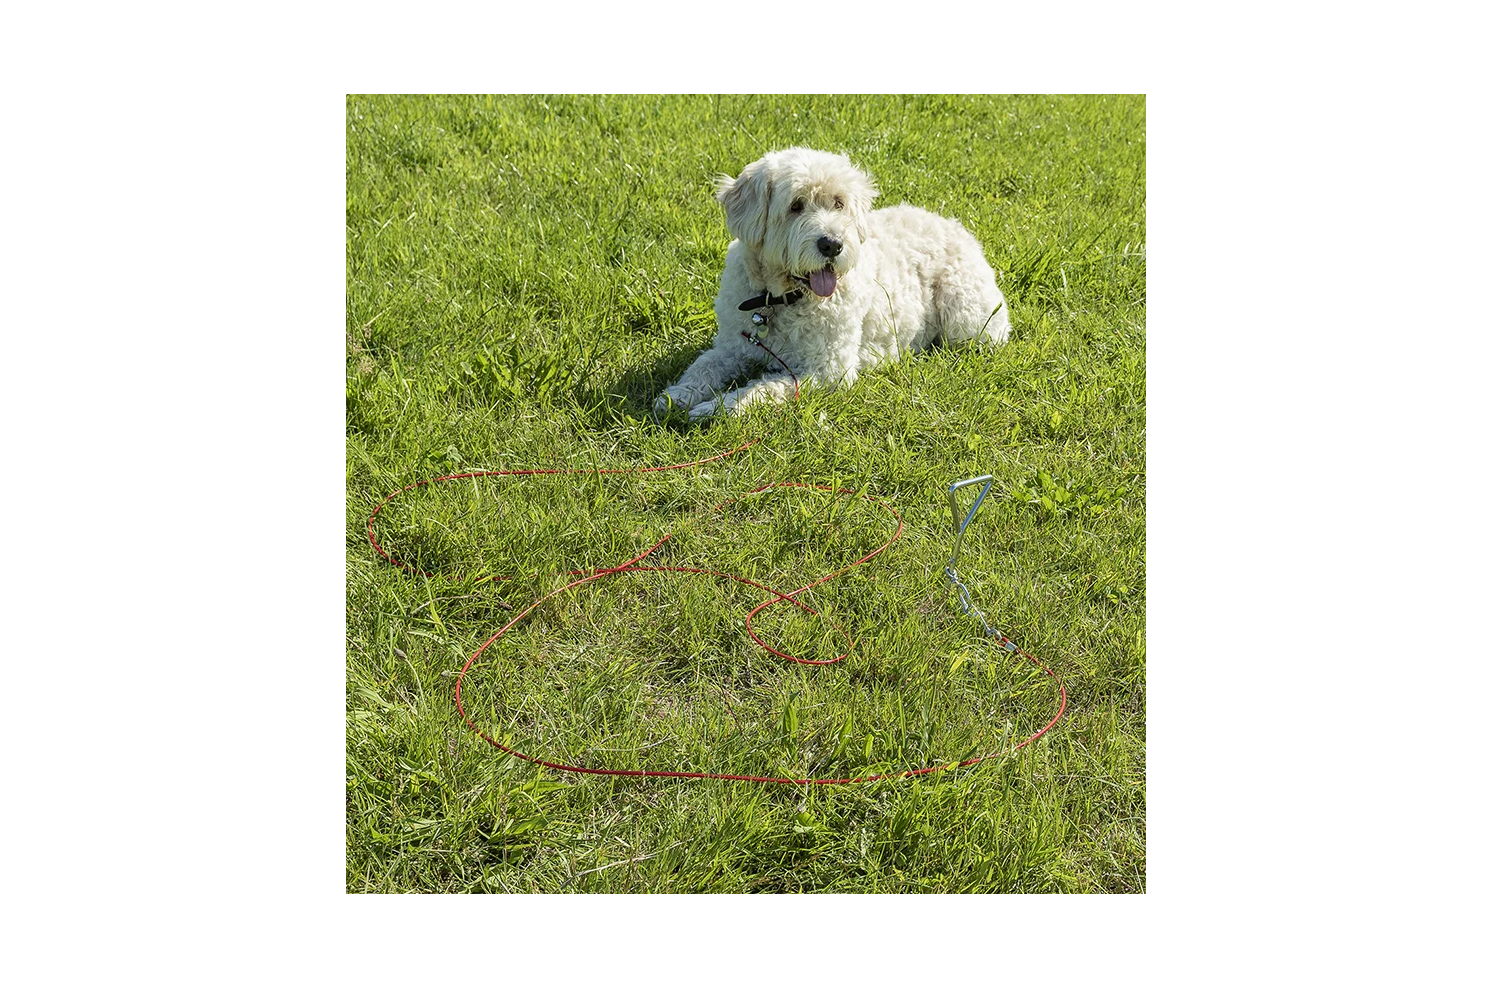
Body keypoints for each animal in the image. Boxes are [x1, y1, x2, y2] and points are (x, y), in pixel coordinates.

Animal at [654, 147, 1009, 421]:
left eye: (839, 203)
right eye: (795, 205)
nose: (832, 245)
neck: (780, 299)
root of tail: (956, 226)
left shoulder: (827, 370)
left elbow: (762, 389)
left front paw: (714, 408)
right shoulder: (731, 347)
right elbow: (701, 367)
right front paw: (677, 395)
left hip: (966, 319)